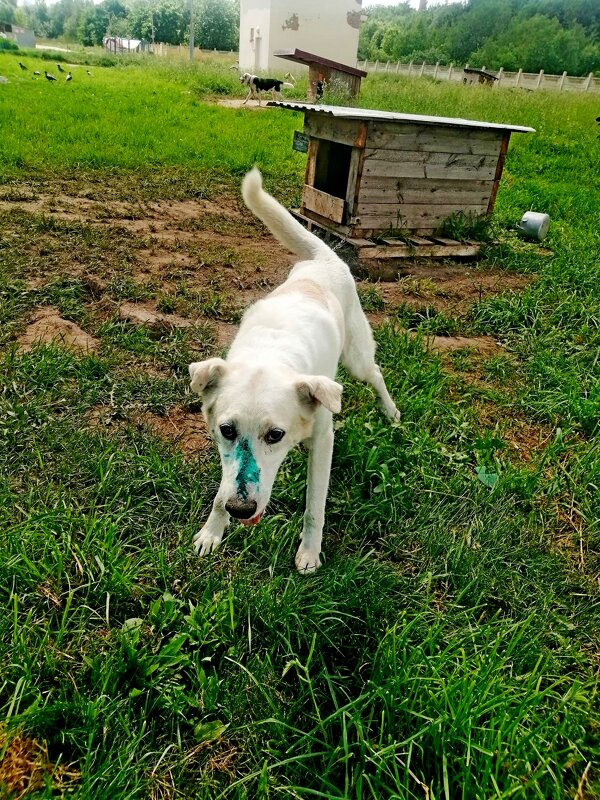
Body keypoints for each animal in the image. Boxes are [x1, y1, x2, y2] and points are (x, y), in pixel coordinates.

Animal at [190, 169, 400, 572]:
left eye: (275, 435)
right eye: (226, 430)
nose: (242, 510)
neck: (269, 356)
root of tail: (325, 259)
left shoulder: (324, 439)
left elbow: (314, 506)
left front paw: (310, 553)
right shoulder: (226, 456)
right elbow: (221, 490)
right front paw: (213, 530)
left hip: (357, 359)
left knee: (378, 373)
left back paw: (392, 412)